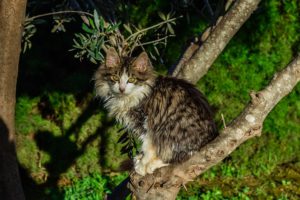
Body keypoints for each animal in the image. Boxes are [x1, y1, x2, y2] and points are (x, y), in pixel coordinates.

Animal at [94, 47, 218, 176]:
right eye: (115, 78)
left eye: (132, 79)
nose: (122, 89)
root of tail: (211, 135)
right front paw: (140, 158)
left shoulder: (149, 122)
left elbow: (149, 146)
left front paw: (143, 164)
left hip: (169, 129)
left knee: (178, 156)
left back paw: (152, 164)